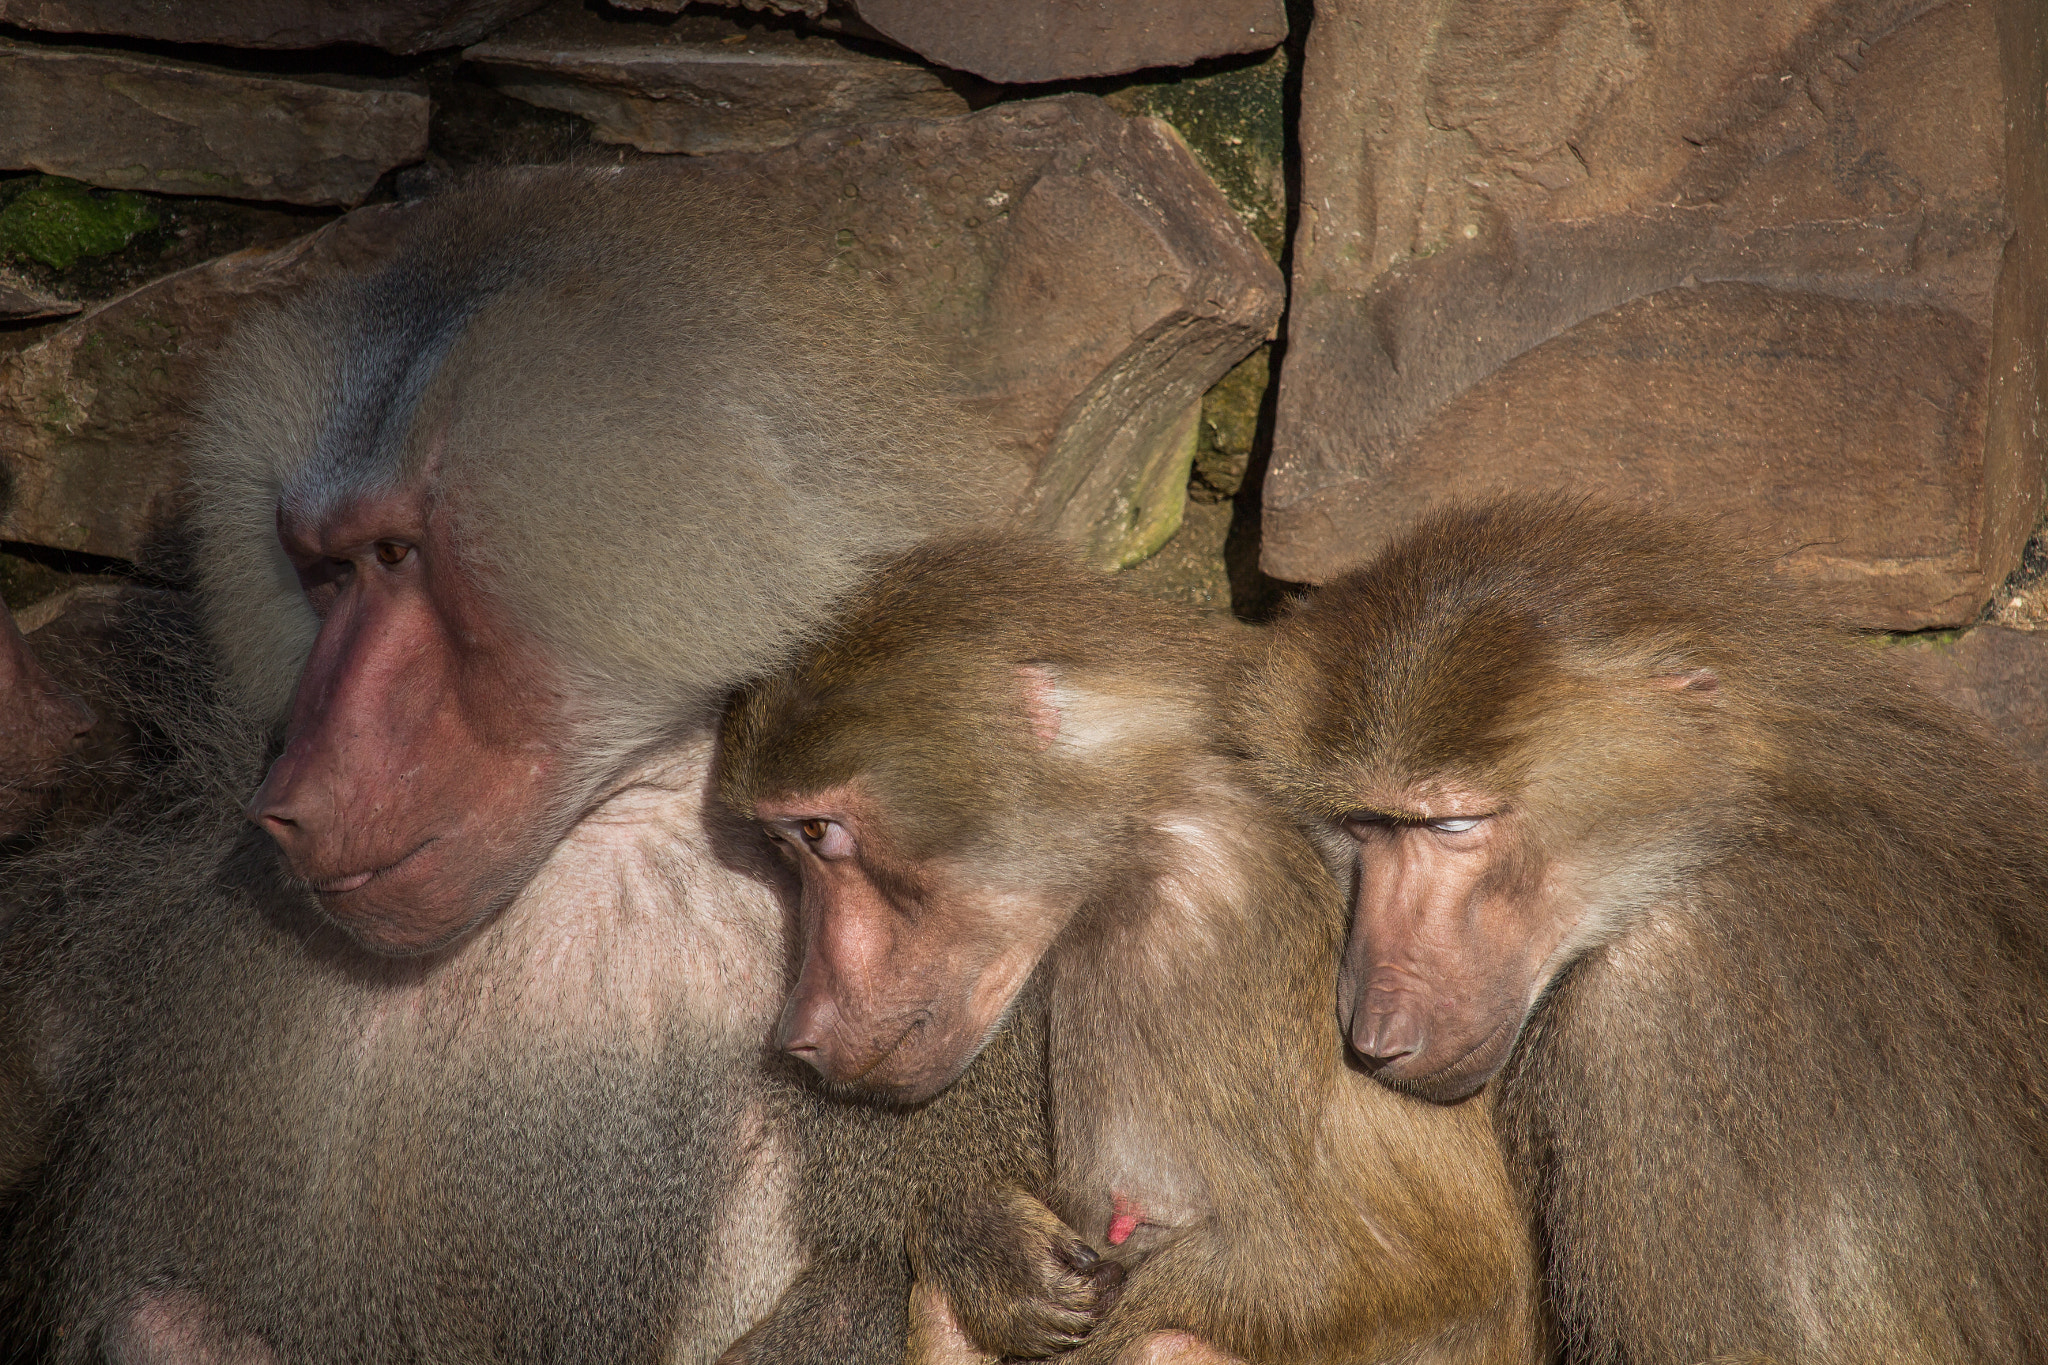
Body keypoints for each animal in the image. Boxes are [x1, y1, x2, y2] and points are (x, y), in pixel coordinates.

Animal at [718, 534, 1541, 1365]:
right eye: (780, 845)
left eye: (817, 831)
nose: (796, 1031)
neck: (1151, 796)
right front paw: (982, 1244)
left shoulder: (1195, 919)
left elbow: (1390, 1266)